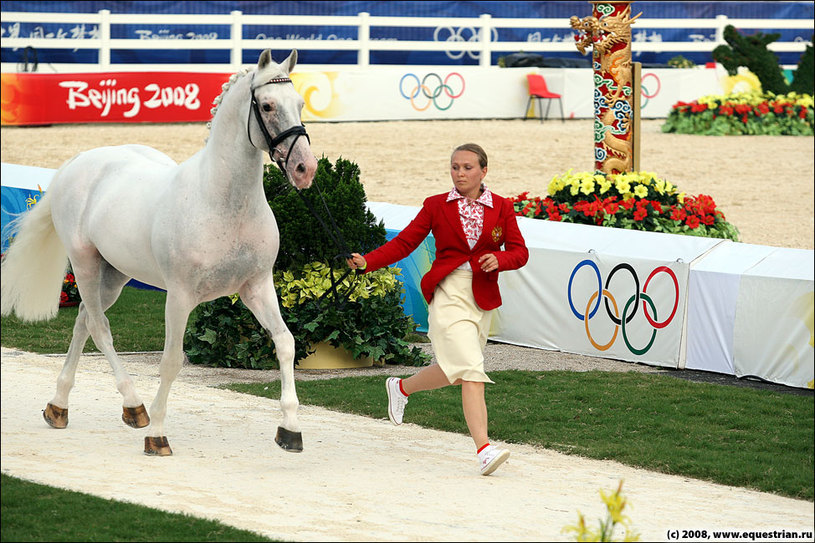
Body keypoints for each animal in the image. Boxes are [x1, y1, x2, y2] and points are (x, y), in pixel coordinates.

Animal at [0, 49, 318, 454]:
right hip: (85, 265)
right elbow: (170, 361)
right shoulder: (179, 296)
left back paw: (59, 407)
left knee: (84, 322)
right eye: (266, 105)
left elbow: (285, 343)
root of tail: (78, 161)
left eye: (300, 104)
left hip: (114, 275)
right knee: (100, 328)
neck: (224, 203)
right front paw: (157, 435)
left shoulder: (257, 287)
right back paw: (134, 406)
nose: (305, 168)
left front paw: (290, 429)